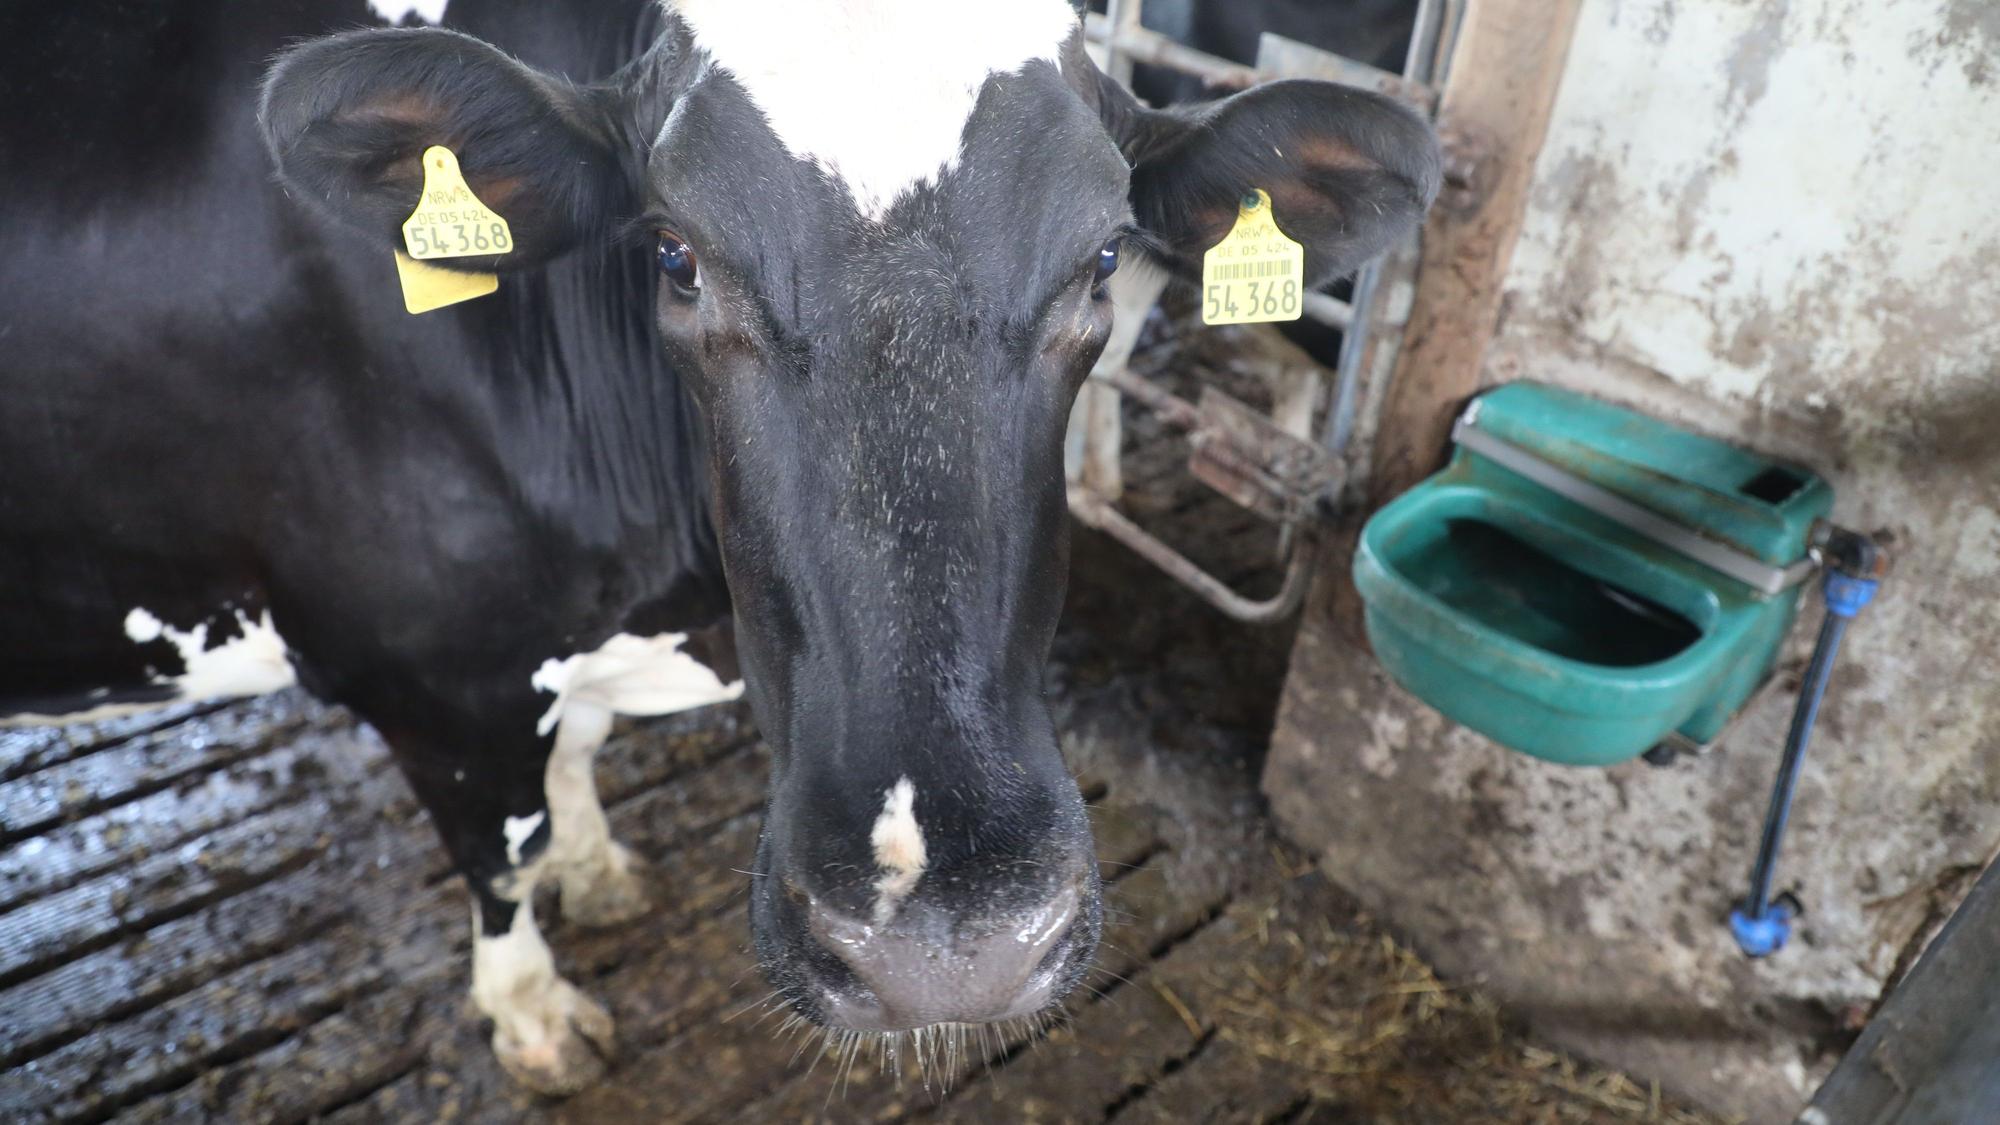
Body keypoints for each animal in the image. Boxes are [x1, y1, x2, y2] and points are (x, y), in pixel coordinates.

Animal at [0, 0, 1438, 1096]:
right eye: (673, 255)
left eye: (1103, 257)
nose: (949, 945)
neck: (653, 597)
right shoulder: (431, 674)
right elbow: (497, 849)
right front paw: (533, 1010)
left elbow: (569, 763)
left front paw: (593, 863)